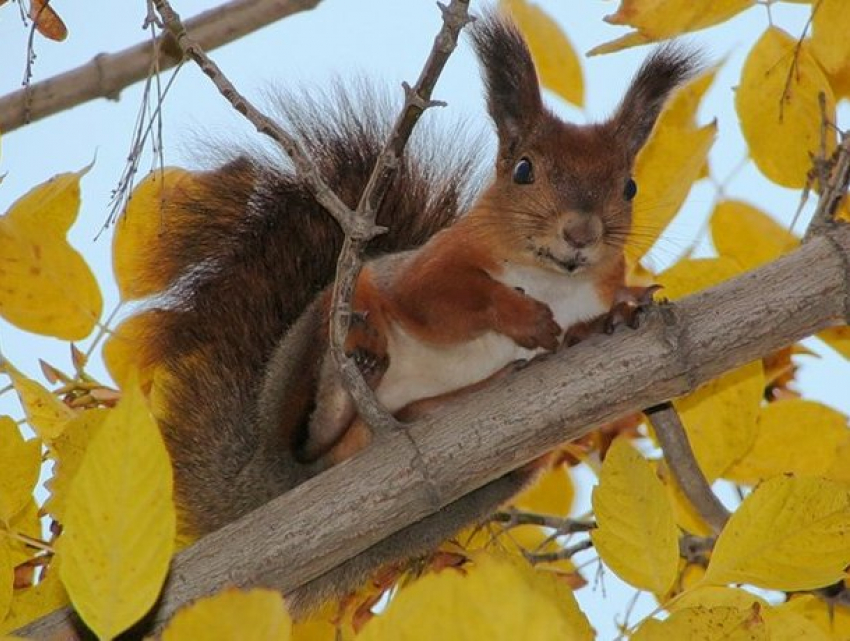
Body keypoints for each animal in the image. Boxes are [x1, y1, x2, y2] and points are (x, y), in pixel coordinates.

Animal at [124, 10, 696, 616]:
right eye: (523, 170)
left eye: (629, 186)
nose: (582, 232)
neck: (555, 280)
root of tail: (265, 482)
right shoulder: (426, 272)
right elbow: (448, 300)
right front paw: (523, 317)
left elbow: (590, 318)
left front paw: (615, 316)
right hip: (323, 322)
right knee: (311, 435)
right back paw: (342, 399)